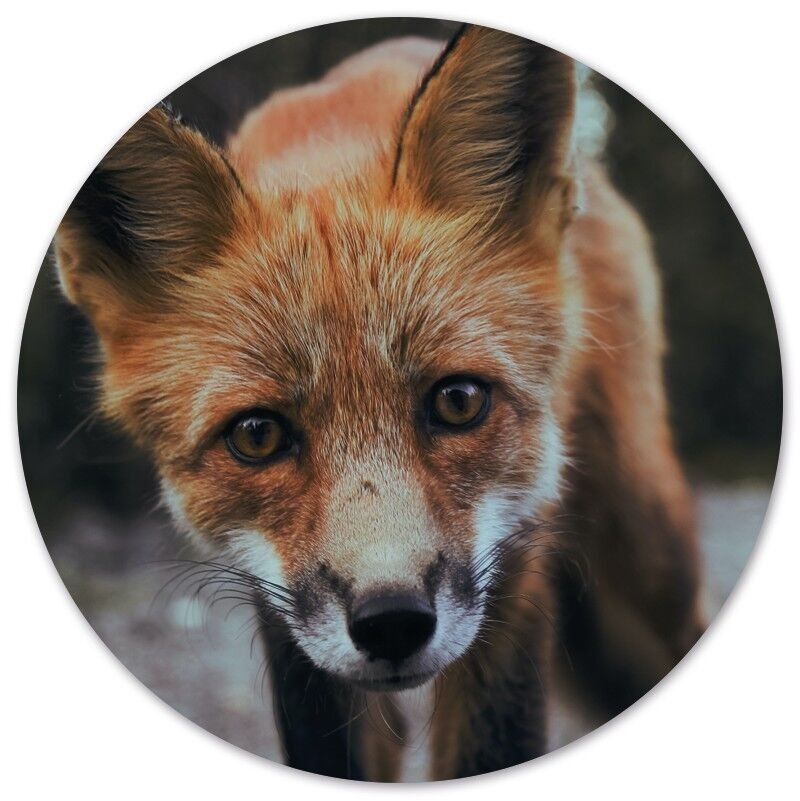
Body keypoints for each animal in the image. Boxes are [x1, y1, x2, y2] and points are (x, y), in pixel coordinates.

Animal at [53, 24, 705, 781]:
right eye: (256, 435)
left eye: (459, 401)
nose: (391, 621)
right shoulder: (286, 622)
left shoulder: (513, 572)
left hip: (646, 563)